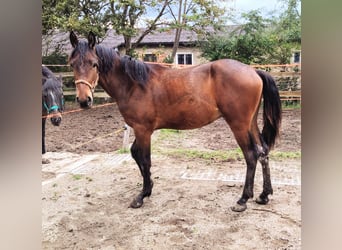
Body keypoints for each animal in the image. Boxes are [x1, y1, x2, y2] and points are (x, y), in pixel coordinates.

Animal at [67, 30, 280, 212]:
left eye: (94, 63)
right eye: (72, 64)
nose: (84, 100)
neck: (134, 84)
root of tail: (253, 71)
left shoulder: (143, 130)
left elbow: (145, 159)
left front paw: (142, 195)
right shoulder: (140, 129)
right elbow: (135, 154)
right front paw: (149, 187)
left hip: (239, 125)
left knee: (251, 155)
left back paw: (243, 199)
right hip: (251, 123)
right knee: (263, 152)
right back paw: (264, 195)